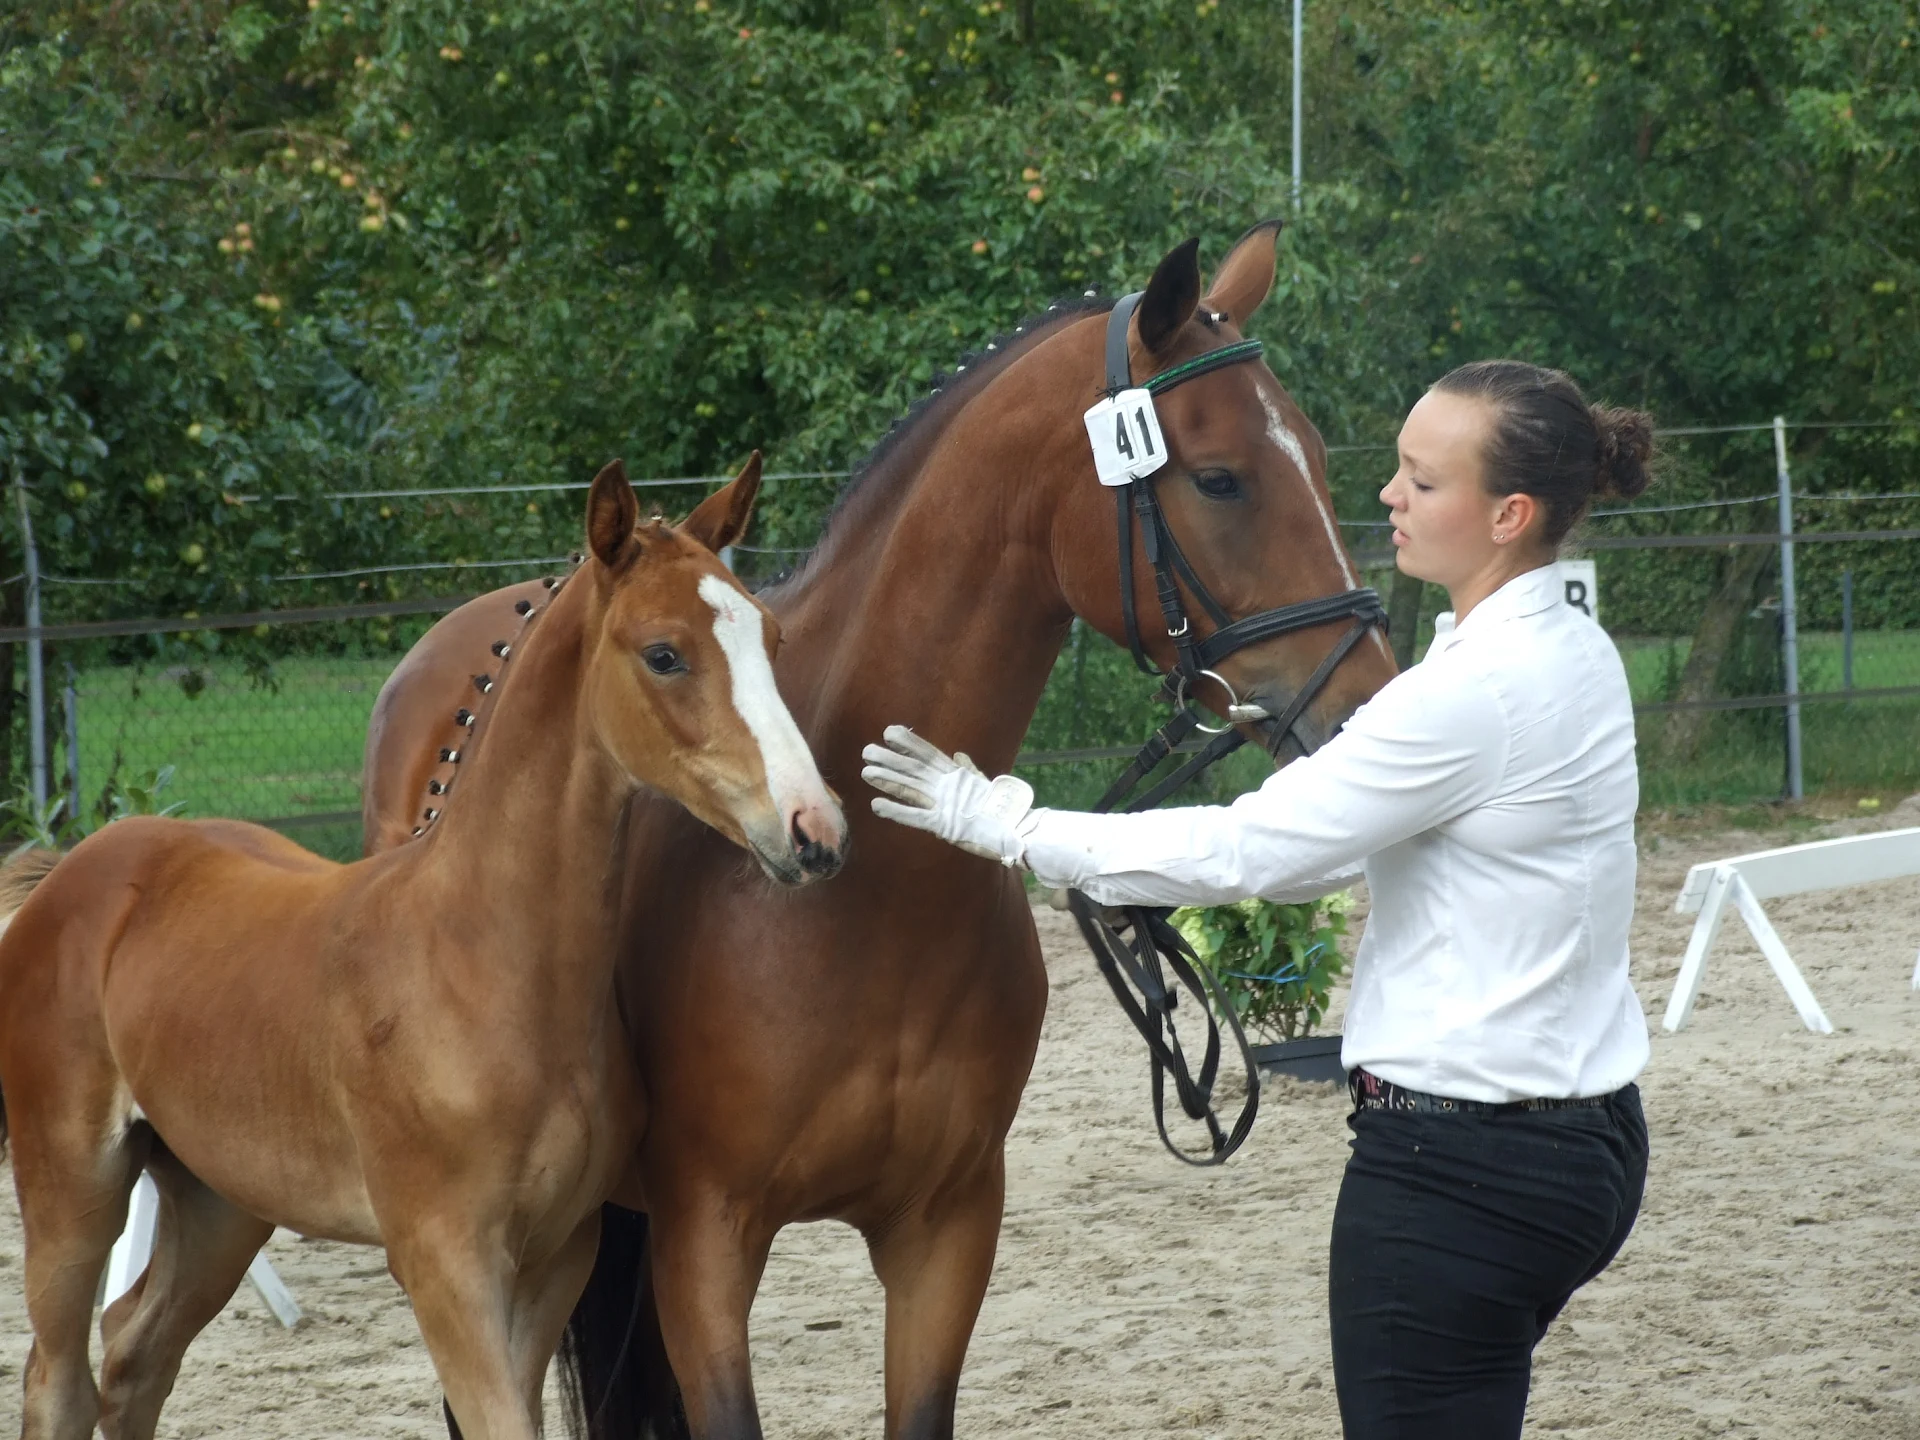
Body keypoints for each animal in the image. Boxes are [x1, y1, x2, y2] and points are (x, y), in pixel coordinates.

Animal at [0, 456, 847, 1440]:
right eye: (664, 653)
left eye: (772, 639)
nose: (814, 829)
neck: (485, 963)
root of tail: (72, 869)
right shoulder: (445, 1263)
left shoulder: (559, 1252)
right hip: (74, 1188)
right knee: (59, 1376)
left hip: (219, 1198)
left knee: (136, 1352)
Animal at [362, 224, 1398, 1439]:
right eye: (1221, 476)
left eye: (1320, 460)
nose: (1367, 698)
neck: (863, 901)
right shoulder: (705, 1243)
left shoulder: (946, 1229)